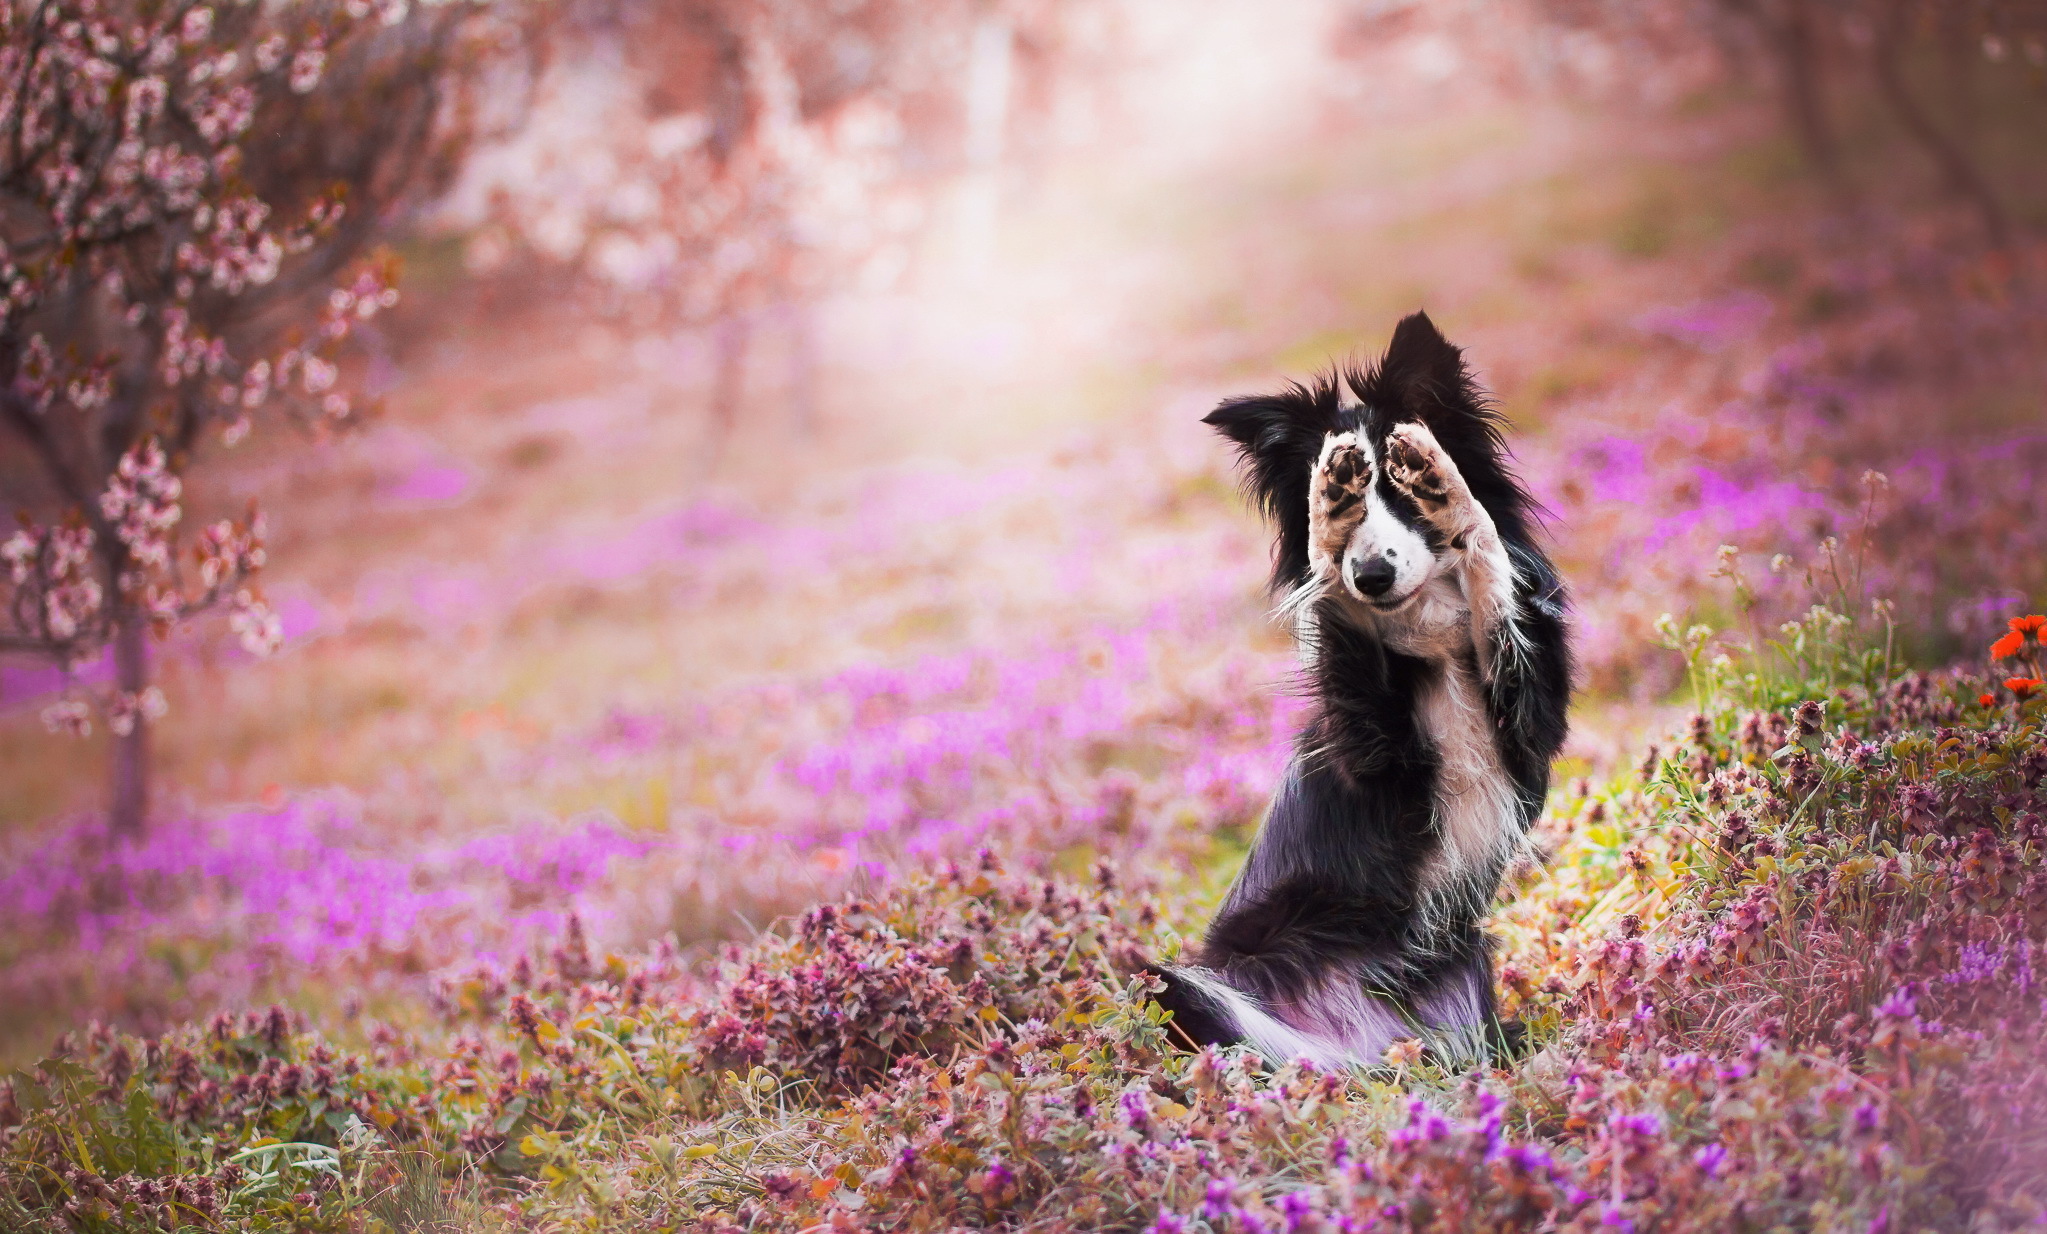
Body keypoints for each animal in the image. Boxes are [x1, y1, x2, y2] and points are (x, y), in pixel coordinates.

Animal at [1162, 311, 1572, 1072]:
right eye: (1355, 517)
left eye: (1403, 497)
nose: (1372, 576)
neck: (1422, 628)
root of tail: (1360, 1049)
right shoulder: (1372, 755)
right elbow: (1336, 607)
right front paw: (1330, 513)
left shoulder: (1530, 720)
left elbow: (1489, 565)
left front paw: (1448, 490)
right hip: (1198, 983)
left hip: (1460, 963)